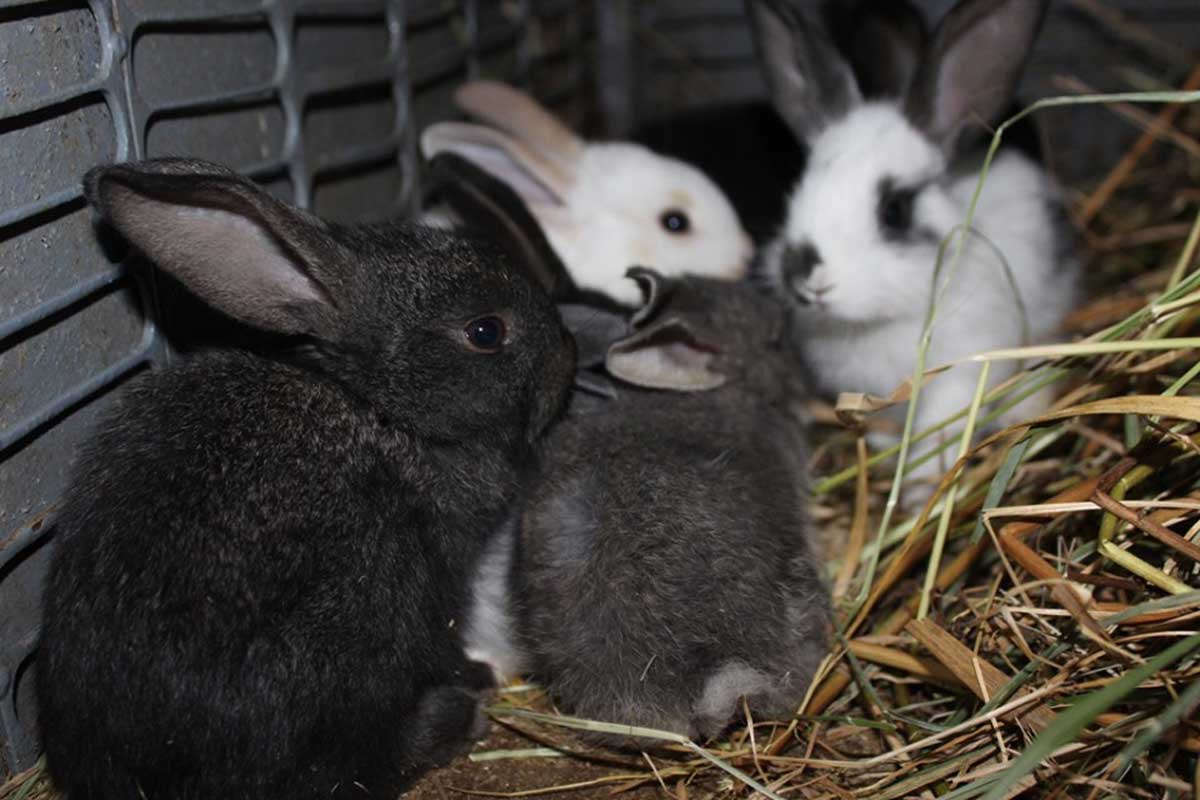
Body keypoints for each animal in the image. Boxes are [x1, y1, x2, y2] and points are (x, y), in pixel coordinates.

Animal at [36, 158, 576, 800]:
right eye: (486, 332)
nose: (568, 356)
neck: (383, 407)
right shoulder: (438, 581)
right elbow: (441, 642)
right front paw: (475, 674)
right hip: (360, 615)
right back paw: (453, 717)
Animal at [748, 0, 1080, 494]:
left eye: (894, 210)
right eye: (798, 189)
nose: (806, 275)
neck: (881, 320)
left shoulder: (963, 369)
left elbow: (940, 427)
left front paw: (920, 485)